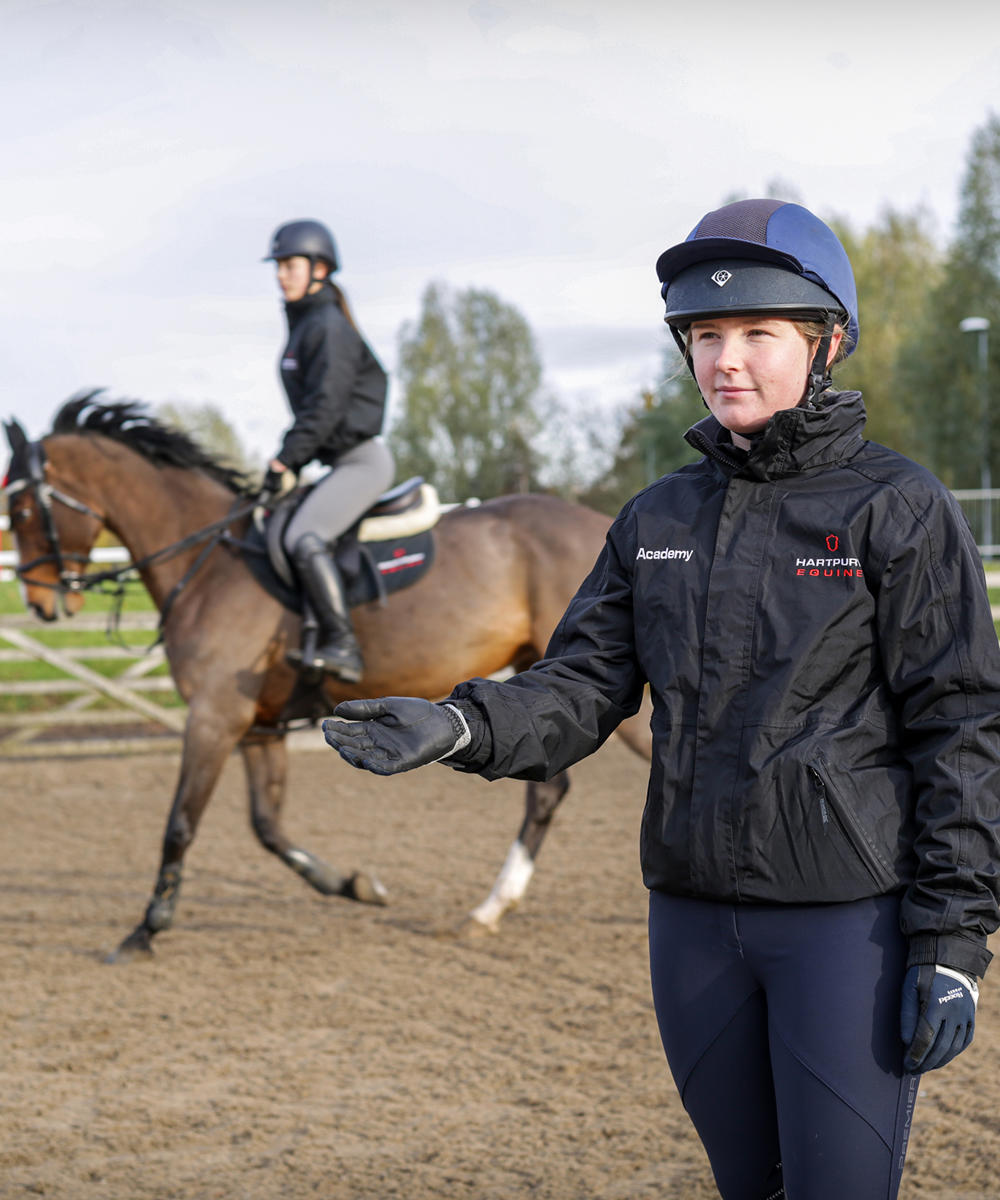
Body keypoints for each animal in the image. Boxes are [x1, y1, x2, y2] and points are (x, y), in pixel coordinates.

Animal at [1, 398, 653, 960]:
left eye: (24, 510)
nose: (40, 603)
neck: (209, 563)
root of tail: (608, 524)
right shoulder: (257, 727)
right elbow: (267, 827)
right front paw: (354, 885)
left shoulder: (214, 717)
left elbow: (180, 823)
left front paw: (144, 930)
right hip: (534, 670)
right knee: (546, 790)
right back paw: (489, 910)